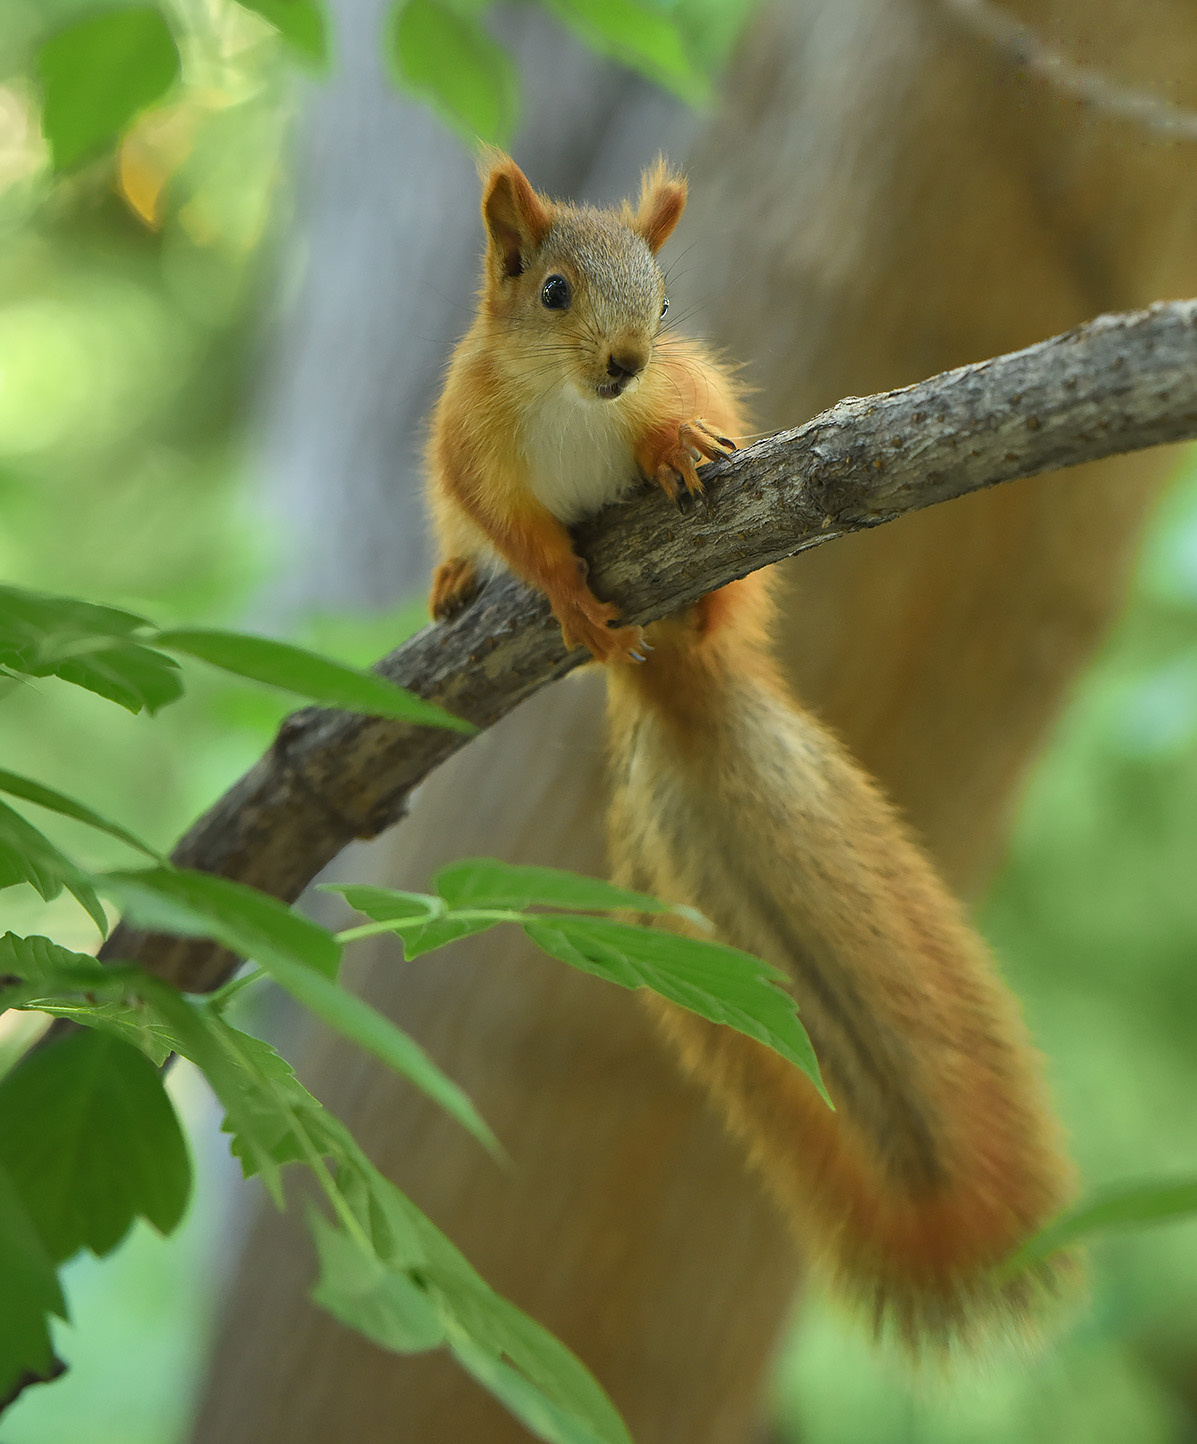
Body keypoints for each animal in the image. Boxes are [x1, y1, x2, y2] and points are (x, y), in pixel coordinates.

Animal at [425, 152, 1077, 1346]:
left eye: (665, 302)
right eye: (552, 291)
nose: (627, 365)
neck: (567, 404)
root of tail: (676, 683)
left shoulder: (683, 382)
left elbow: (679, 422)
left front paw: (668, 446)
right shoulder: (470, 455)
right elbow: (519, 541)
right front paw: (558, 597)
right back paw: (459, 587)